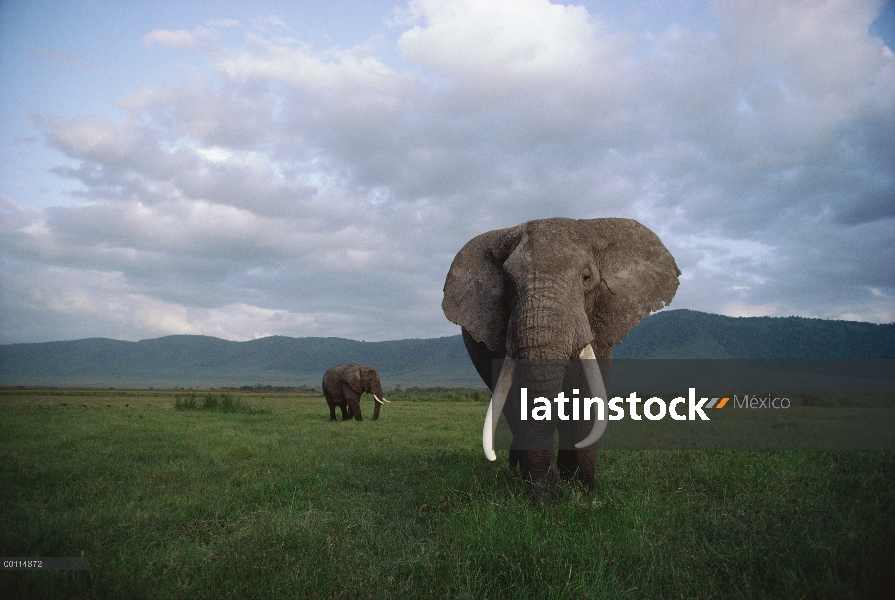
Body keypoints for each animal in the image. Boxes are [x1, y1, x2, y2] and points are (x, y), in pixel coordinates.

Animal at [440, 216, 680, 502]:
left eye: (587, 277)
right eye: (508, 283)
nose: (550, 492)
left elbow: (586, 399)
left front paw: (583, 489)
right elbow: (522, 399)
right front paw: (547, 488)